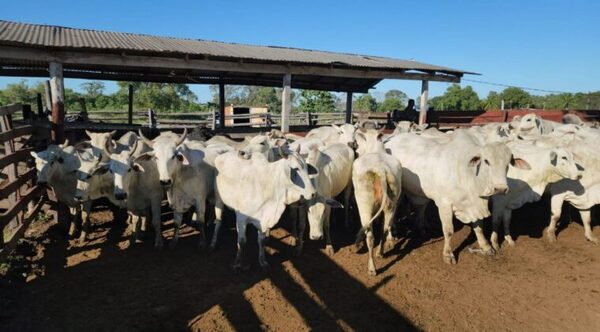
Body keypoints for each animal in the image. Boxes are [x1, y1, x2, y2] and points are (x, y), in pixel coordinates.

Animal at [352, 129, 404, 274]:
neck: (376, 150)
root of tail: (381, 170)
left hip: (365, 204)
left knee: (370, 234)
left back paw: (372, 268)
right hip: (390, 203)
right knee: (384, 229)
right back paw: (380, 252)